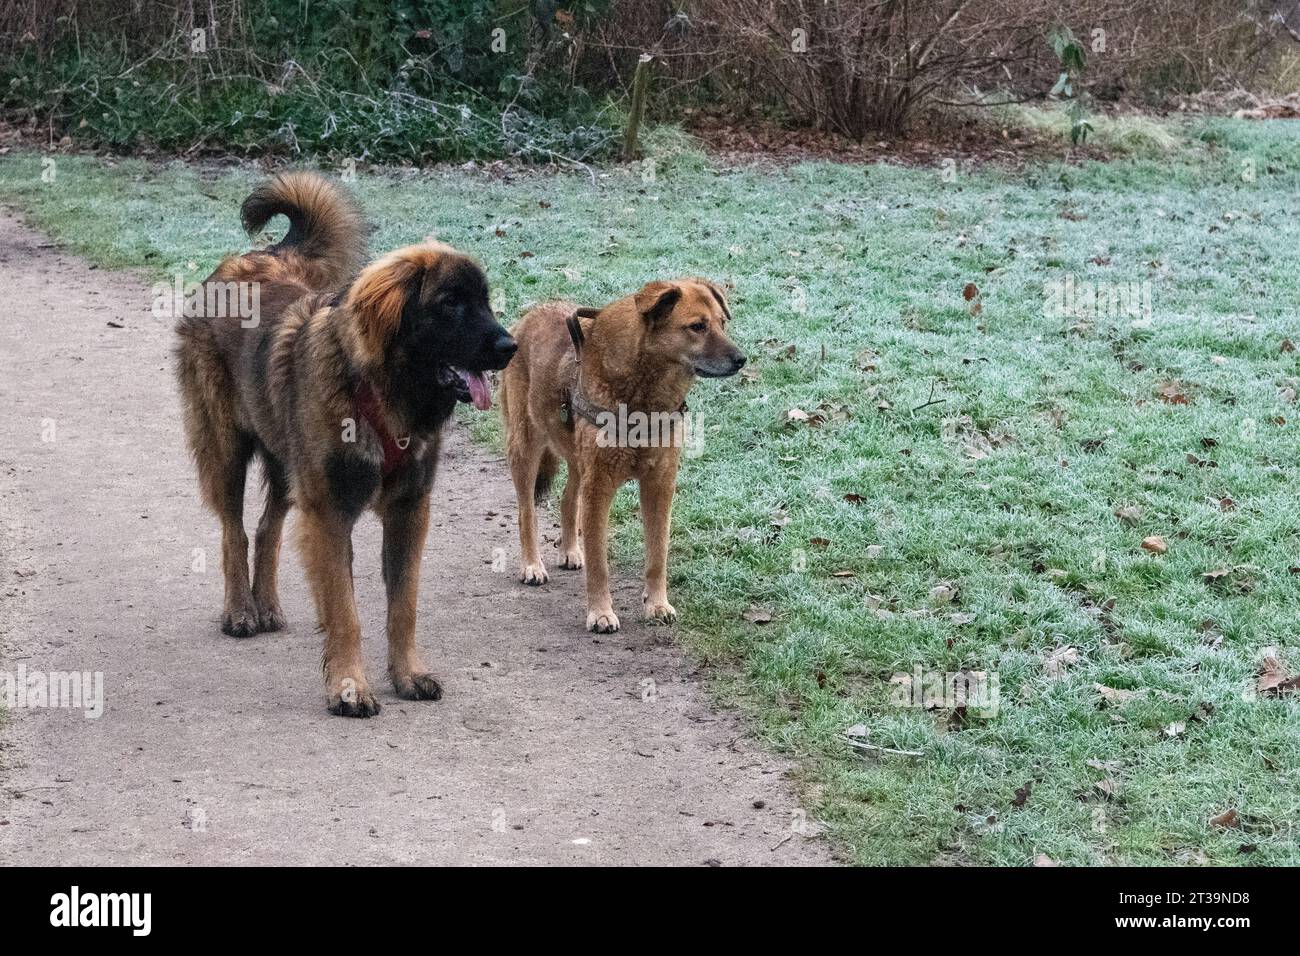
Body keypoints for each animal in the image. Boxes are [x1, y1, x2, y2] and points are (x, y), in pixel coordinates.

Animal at [174, 171, 517, 712]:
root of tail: (252, 257)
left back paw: (266, 605)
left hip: (286, 465)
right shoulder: (330, 512)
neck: (380, 395)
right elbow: (345, 611)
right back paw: (241, 610)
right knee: (235, 531)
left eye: (484, 302)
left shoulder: (408, 511)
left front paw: (407, 674)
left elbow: (403, 606)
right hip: (225, 449)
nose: (510, 347)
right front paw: (350, 686)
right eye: (450, 304)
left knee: (268, 528)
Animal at [496, 280, 743, 632]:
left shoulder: (659, 484)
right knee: (526, 511)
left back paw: (569, 550)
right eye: (697, 326)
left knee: (567, 499)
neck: (644, 391)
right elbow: (599, 562)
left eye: (723, 323)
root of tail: (535, 312)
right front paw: (600, 612)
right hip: (525, 447)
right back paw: (532, 565)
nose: (742, 359)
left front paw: (657, 604)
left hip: (577, 460)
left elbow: (658, 554)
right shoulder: (599, 488)